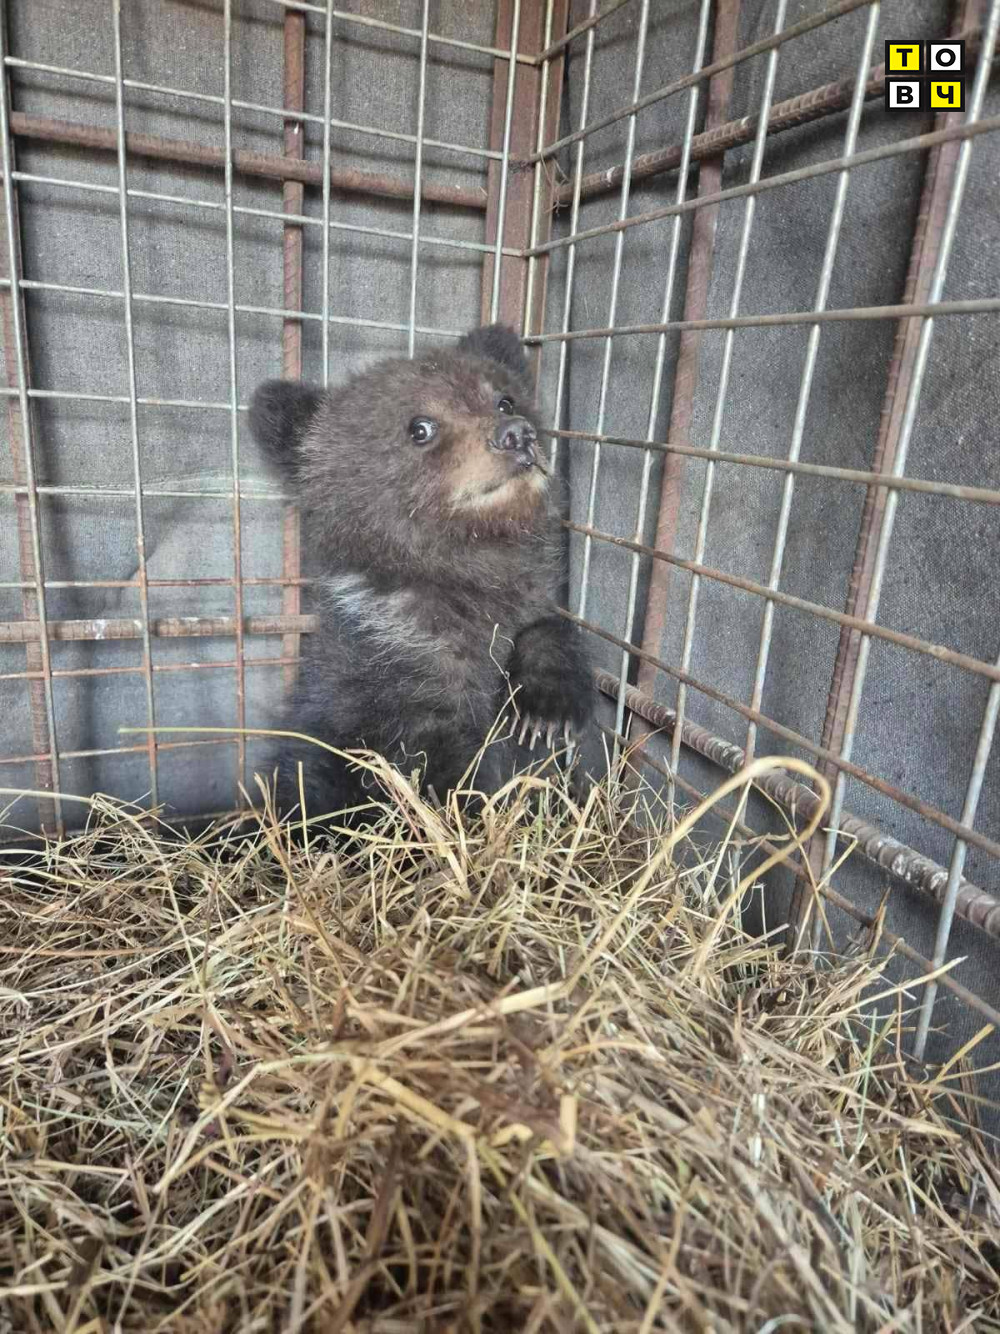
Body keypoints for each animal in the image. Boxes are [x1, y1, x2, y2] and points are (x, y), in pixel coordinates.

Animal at [248, 323, 593, 823]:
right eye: (420, 427)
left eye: (504, 399)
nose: (516, 434)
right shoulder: (390, 676)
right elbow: (436, 757)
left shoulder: (525, 599)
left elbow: (547, 629)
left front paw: (547, 709)